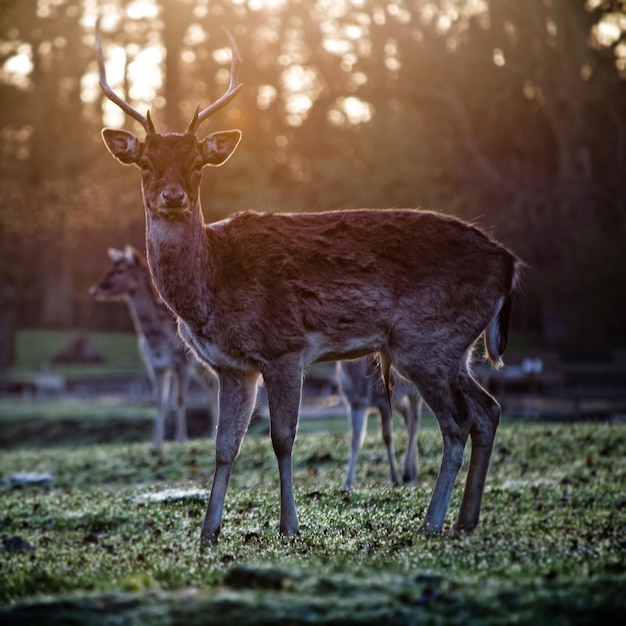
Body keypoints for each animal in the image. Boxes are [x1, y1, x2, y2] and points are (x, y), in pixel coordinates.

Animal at [89, 244, 217, 444]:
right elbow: (159, 401)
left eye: (120, 270)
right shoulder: (155, 365)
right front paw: (156, 441)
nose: (95, 289)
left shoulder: (181, 363)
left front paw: (181, 439)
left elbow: (179, 399)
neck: (155, 338)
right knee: (212, 388)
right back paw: (212, 434)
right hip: (199, 368)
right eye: (111, 267)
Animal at [338, 354, 422, 490]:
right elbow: (355, 440)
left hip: (415, 391)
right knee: (407, 416)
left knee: (414, 423)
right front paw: (347, 483)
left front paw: (394, 478)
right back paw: (413, 470)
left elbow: (387, 437)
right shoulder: (355, 403)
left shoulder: (385, 400)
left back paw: (407, 472)